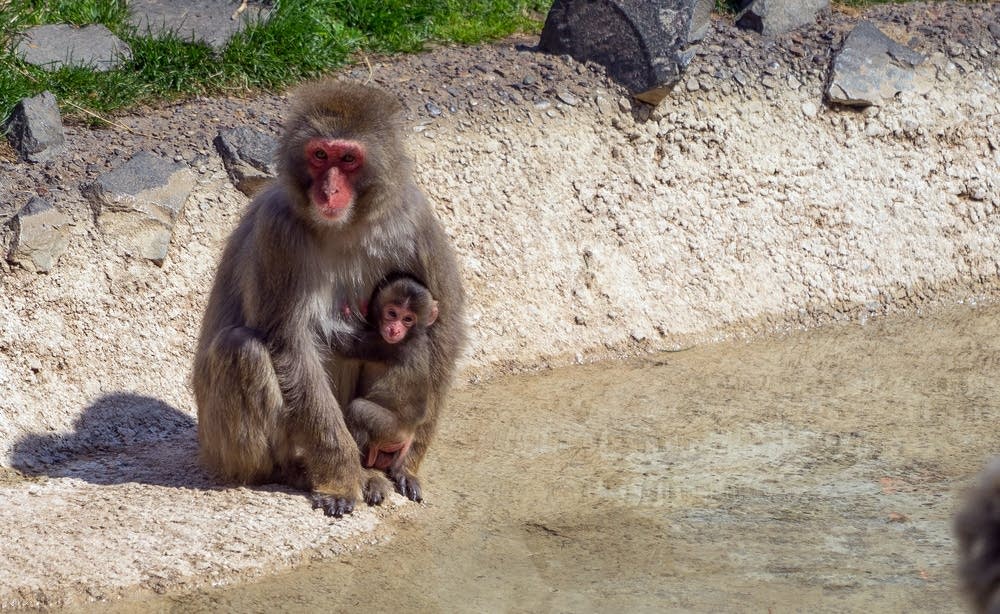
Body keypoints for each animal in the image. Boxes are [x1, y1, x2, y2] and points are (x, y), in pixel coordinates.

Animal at [335, 274, 438, 502]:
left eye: (408, 319)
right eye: (392, 313)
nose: (395, 329)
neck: (411, 336)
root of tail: (409, 433)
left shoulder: (381, 345)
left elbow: (344, 344)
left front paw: (346, 311)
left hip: (391, 429)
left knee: (359, 410)